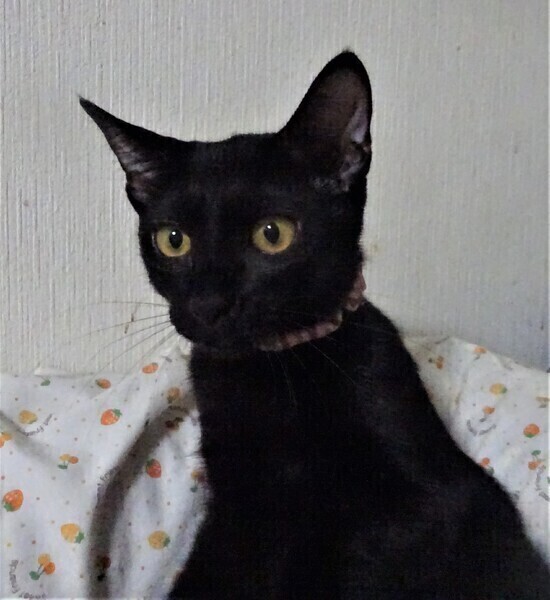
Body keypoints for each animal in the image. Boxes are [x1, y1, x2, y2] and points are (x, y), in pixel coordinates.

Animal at [81, 52, 549, 599]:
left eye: (273, 234)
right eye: (173, 240)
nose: (207, 304)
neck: (273, 368)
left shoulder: (431, 502)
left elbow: (344, 560)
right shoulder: (237, 508)